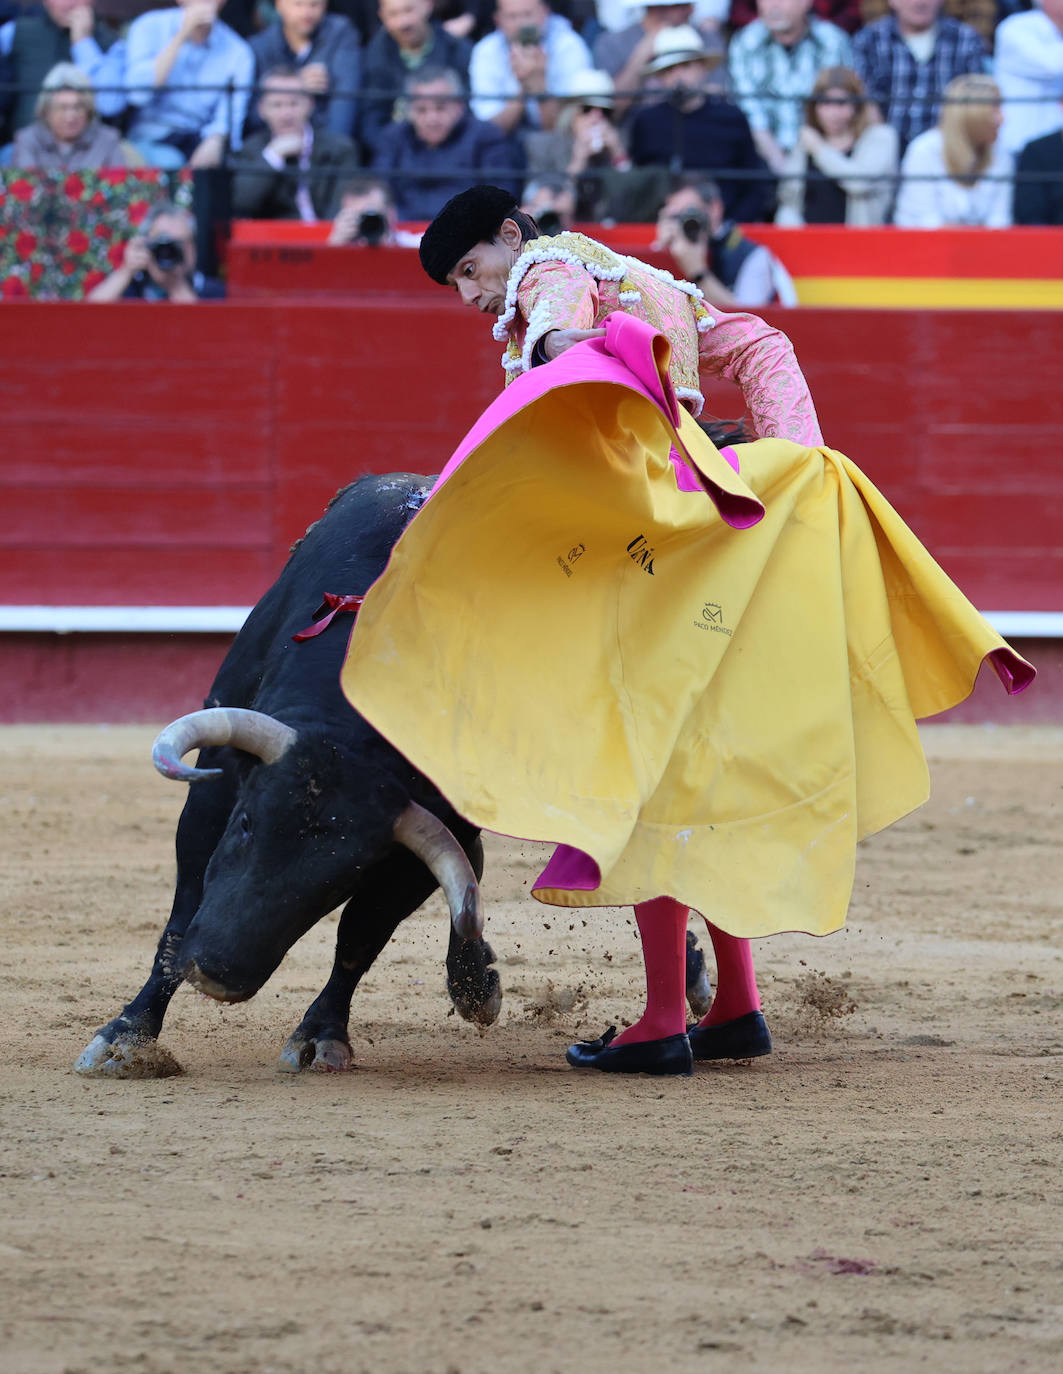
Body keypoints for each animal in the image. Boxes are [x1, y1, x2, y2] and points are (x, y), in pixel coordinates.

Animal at [72, 478, 708, 1077]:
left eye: (344, 875)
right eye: (248, 824)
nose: (218, 973)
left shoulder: (411, 846)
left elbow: (359, 934)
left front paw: (320, 1035)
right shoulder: (215, 793)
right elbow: (182, 914)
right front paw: (127, 1035)